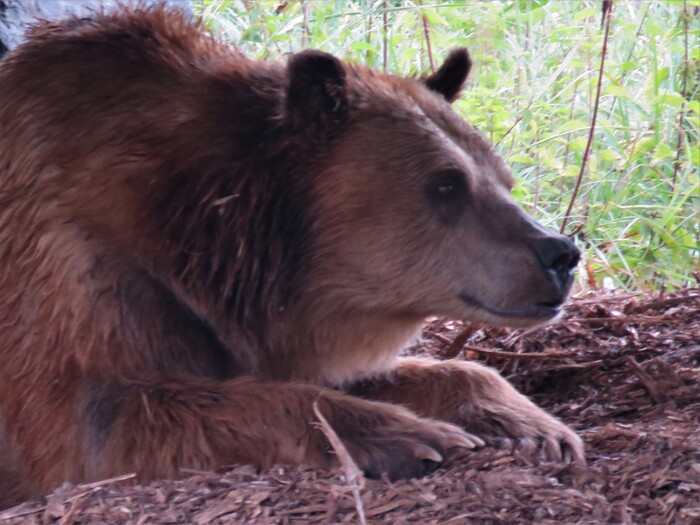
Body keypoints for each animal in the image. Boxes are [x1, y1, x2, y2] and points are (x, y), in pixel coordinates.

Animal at [0, 4, 584, 508]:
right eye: (445, 184)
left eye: (503, 179)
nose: (561, 254)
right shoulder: (77, 264)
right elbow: (101, 419)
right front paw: (414, 434)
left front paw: (534, 426)